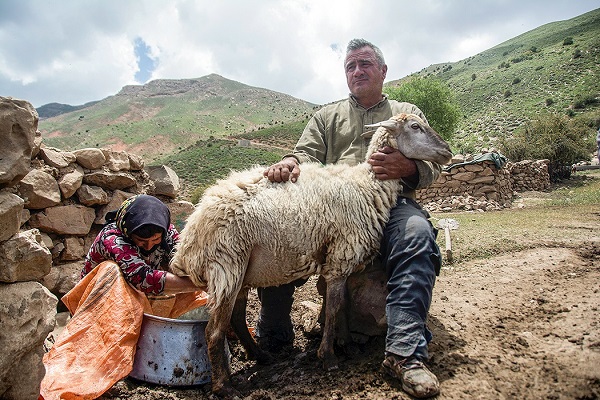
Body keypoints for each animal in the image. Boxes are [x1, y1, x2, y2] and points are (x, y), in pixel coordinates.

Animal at [169, 112, 450, 396]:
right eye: (416, 126)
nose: (447, 151)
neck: (366, 185)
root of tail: (188, 241)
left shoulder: (338, 257)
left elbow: (341, 305)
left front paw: (346, 344)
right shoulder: (341, 256)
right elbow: (335, 308)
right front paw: (328, 357)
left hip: (239, 271)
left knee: (236, 319)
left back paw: (260, 356)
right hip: (225, 264)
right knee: (214, 330)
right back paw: (225, 386)